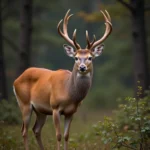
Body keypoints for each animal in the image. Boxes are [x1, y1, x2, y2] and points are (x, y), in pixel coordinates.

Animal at [12, 9, 112, 150]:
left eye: (90, 57)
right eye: (76, 57)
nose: (82, 67)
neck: (69, 93)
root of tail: (17, 79)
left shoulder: (71, 112)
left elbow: (66, 135)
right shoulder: (55, 107)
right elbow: (58, 135)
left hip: (40, 110)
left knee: (36, 129)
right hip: (24, 103)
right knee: (24, 131)